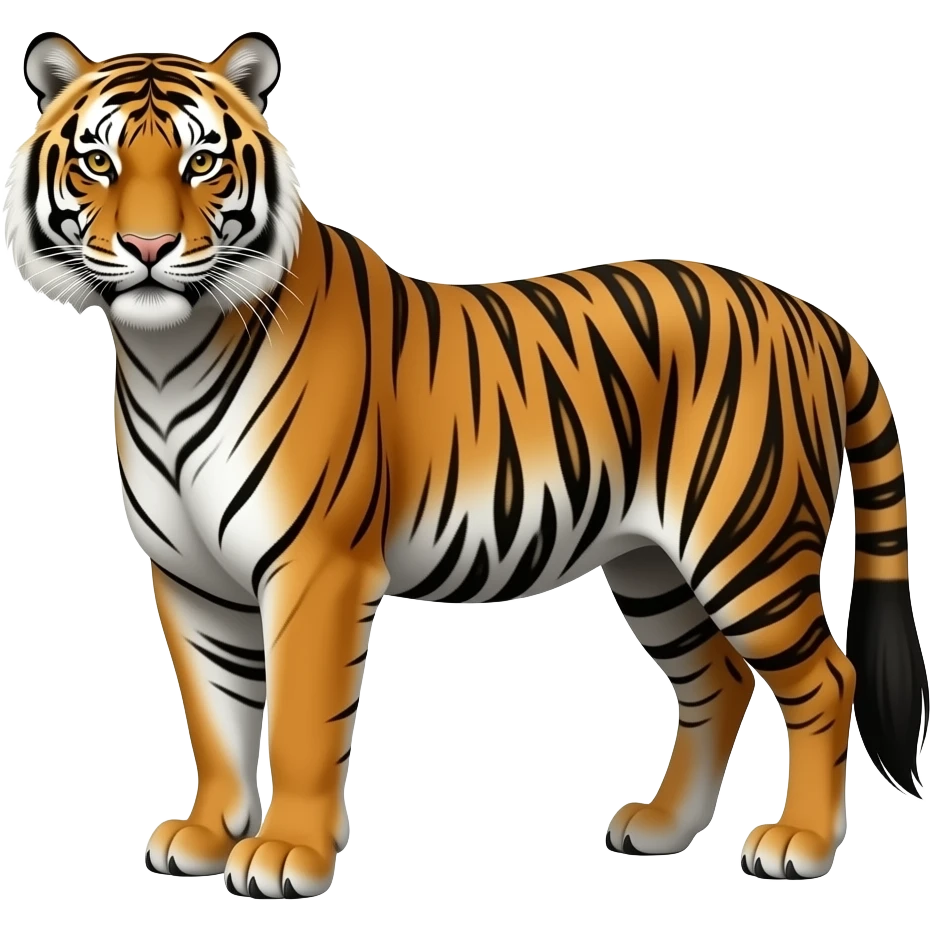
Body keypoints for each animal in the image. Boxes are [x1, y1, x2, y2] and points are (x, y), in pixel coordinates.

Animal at [3, 29, 927, 899]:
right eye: (98, 161)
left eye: (202, 162)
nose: (148, 245)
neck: (166, 356)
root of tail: (811, 315)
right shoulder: (189, 576)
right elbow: (216, 716)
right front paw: (204, 837)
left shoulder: (315, 568)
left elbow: (296, 722)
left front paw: (286, 856)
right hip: (652, 565)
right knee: (719, 680)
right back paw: (664, 827)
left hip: (746, 545)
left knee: (827, 679)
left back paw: (799, 845)